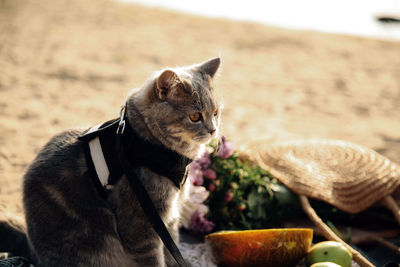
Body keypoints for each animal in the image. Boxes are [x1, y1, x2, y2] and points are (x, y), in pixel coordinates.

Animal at [22, 57, 222, 266]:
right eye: (195, 116)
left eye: (215, 112)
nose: (213, 130)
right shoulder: (141, 224)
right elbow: (155, 258)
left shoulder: (169, 220)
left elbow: (172, 249)